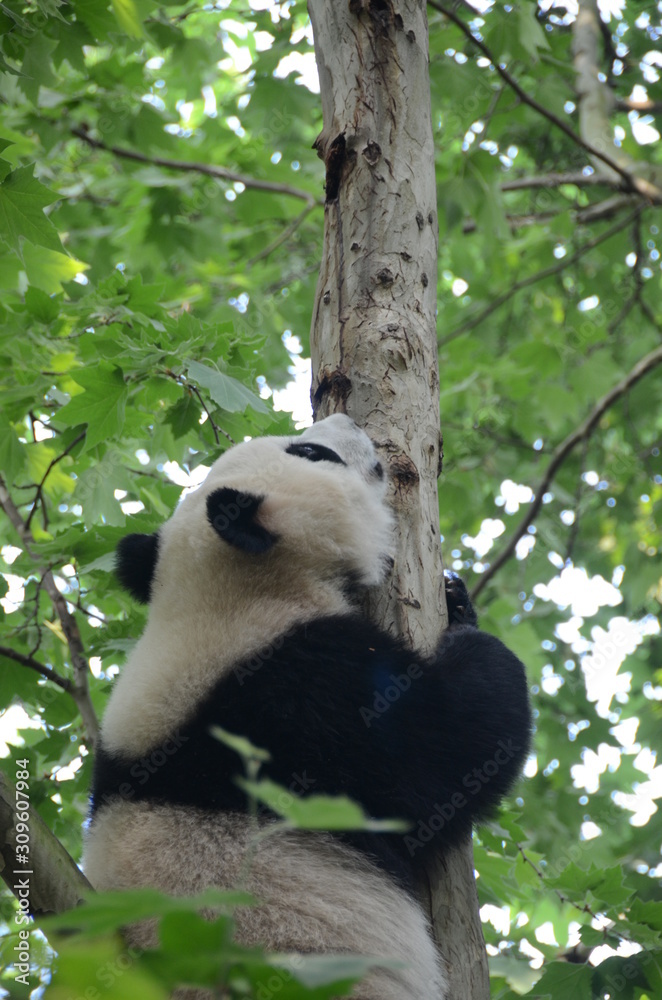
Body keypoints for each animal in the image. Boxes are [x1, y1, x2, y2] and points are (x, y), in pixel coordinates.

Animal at [83, 413, 531, 1000]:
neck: (220, 592)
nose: (348, 420)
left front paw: (457, 600)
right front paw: (477, 647)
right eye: (312, 453)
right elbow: (437, 752)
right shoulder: (293, 694)